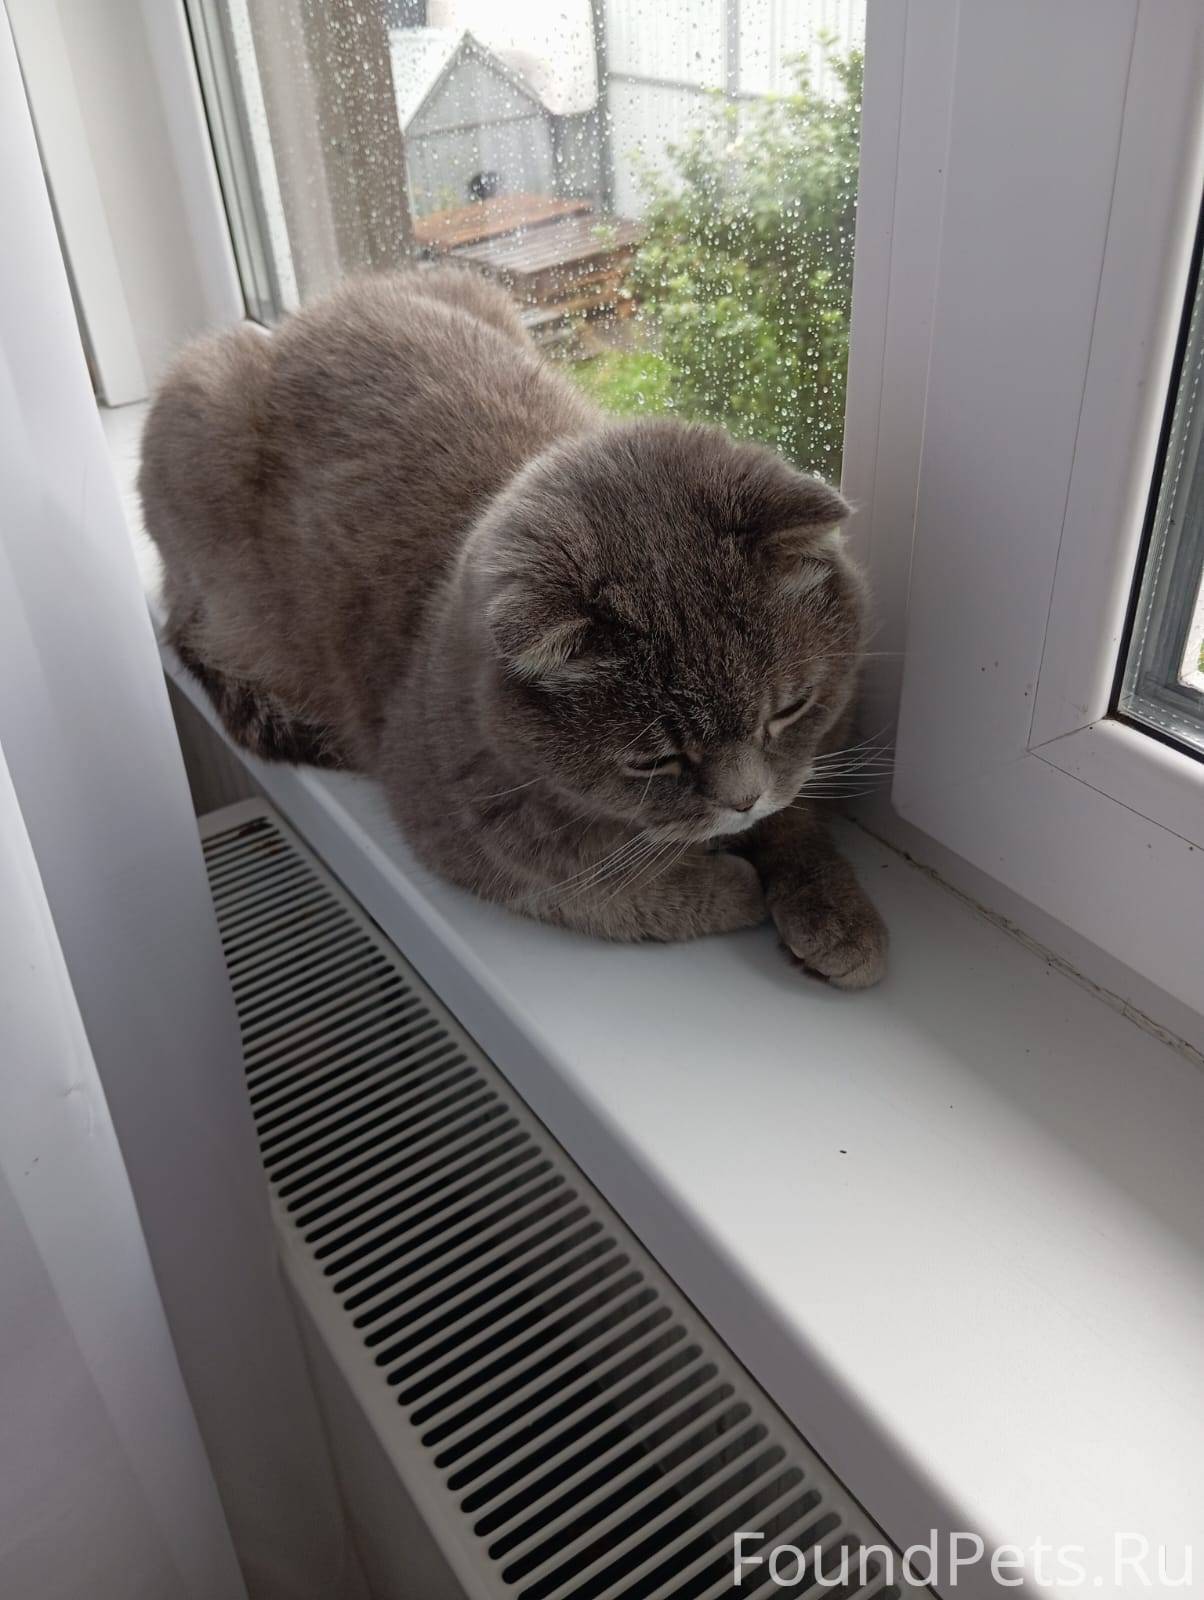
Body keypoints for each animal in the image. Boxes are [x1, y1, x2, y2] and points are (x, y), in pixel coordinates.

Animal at [140, 267, 888, 987]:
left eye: (790, 710)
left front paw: (835, 912)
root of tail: (301, 318)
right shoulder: (463, 830)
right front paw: (733, 885)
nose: (742, 802)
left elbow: (797, 812)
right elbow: (604, 890)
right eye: (654, 760)